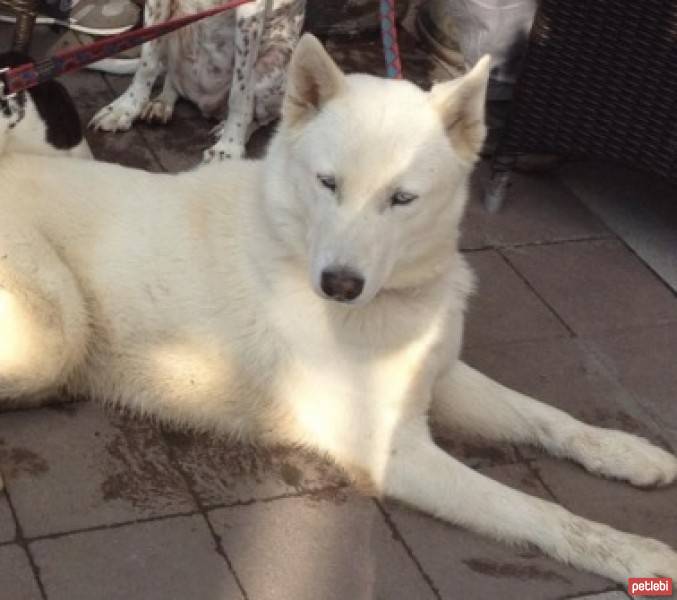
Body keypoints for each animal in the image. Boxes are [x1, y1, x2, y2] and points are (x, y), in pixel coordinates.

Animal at [1, 35, 676, 588]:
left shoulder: (439, 377)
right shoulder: (394, 453)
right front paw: (633, 551)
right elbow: (534, 508)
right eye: (328, 183)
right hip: (58, 328)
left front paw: (627, 452)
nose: (340, 285)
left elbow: (547, 418)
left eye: (401, 199)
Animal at [88, 0, 304, 162]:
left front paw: (229, 146)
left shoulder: (250, 13)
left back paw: (227, 128)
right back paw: (161, 103)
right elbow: (147, 62)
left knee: (264, 117)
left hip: (277, 58)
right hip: (175, 25)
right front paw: (125, 109)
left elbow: (240, 94)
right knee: (171, 79)